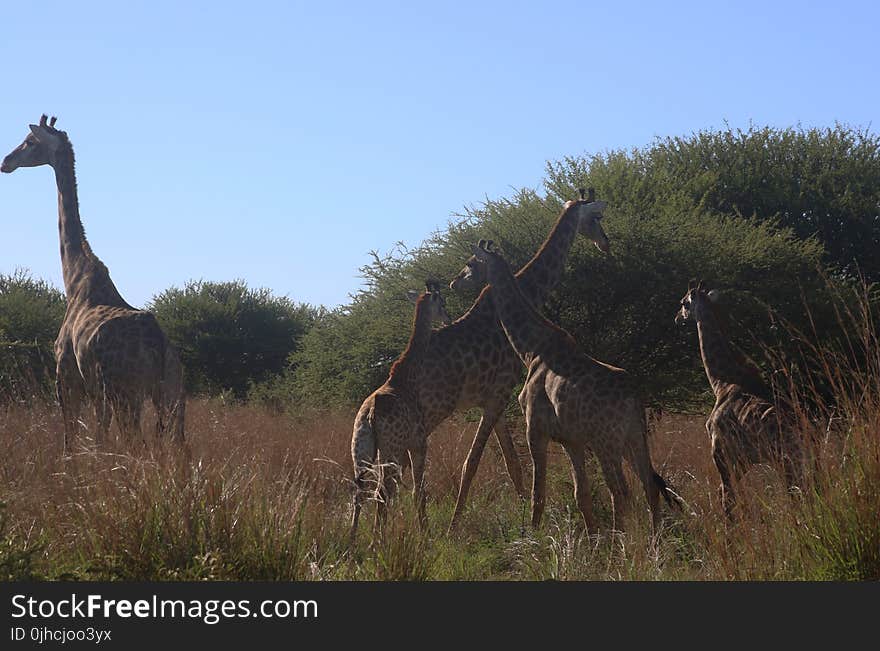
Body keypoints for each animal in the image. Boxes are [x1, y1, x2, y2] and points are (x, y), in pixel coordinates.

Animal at [1, 116, 184, 454]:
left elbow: (70, 437)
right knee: (178, 447)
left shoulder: (66, 375)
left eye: (30, 142)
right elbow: (99, 435)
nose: (6, 161)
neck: (73, 279)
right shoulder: (96, 391)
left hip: (126, 391)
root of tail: (156, 342)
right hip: (173, 393)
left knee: (137, 443)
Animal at [348, 280, 450, 540]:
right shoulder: (419, 443)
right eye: (442, 303)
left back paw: (352, 541)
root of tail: (371, 414)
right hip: (390, 449)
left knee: (360, 492)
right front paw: (426, 534)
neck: (406, 378)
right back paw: (377, 541)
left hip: (361, 449)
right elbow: (419, 490)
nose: (448, 318)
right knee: (381, 492)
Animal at [436, 188, 608, 528]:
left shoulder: (494, 397)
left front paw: (521, 513)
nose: (605, 242)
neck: (528, 289)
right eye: (596, 217)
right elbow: (479, 461)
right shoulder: (501, 391)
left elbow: (512, 463)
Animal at [470, 241, 676, 536]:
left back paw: (621, 542)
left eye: (471, 263)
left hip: (606, 441)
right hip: (634, 436)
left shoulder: (535, 427)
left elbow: (538, 493)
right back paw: (653, 540)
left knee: (621, 491)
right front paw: (592, 538)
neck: (531, 348)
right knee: (649, 484)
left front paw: (533, 538)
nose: (456, 282)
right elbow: (582, 494)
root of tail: (633, 398)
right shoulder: (572, 439)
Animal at [672, 280, 804, 520]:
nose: (677, 317)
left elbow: (726, 499)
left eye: (684, 302)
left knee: (797, 494)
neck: (721, 382)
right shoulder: (742, 460)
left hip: (787, 461)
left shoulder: (720, 451)